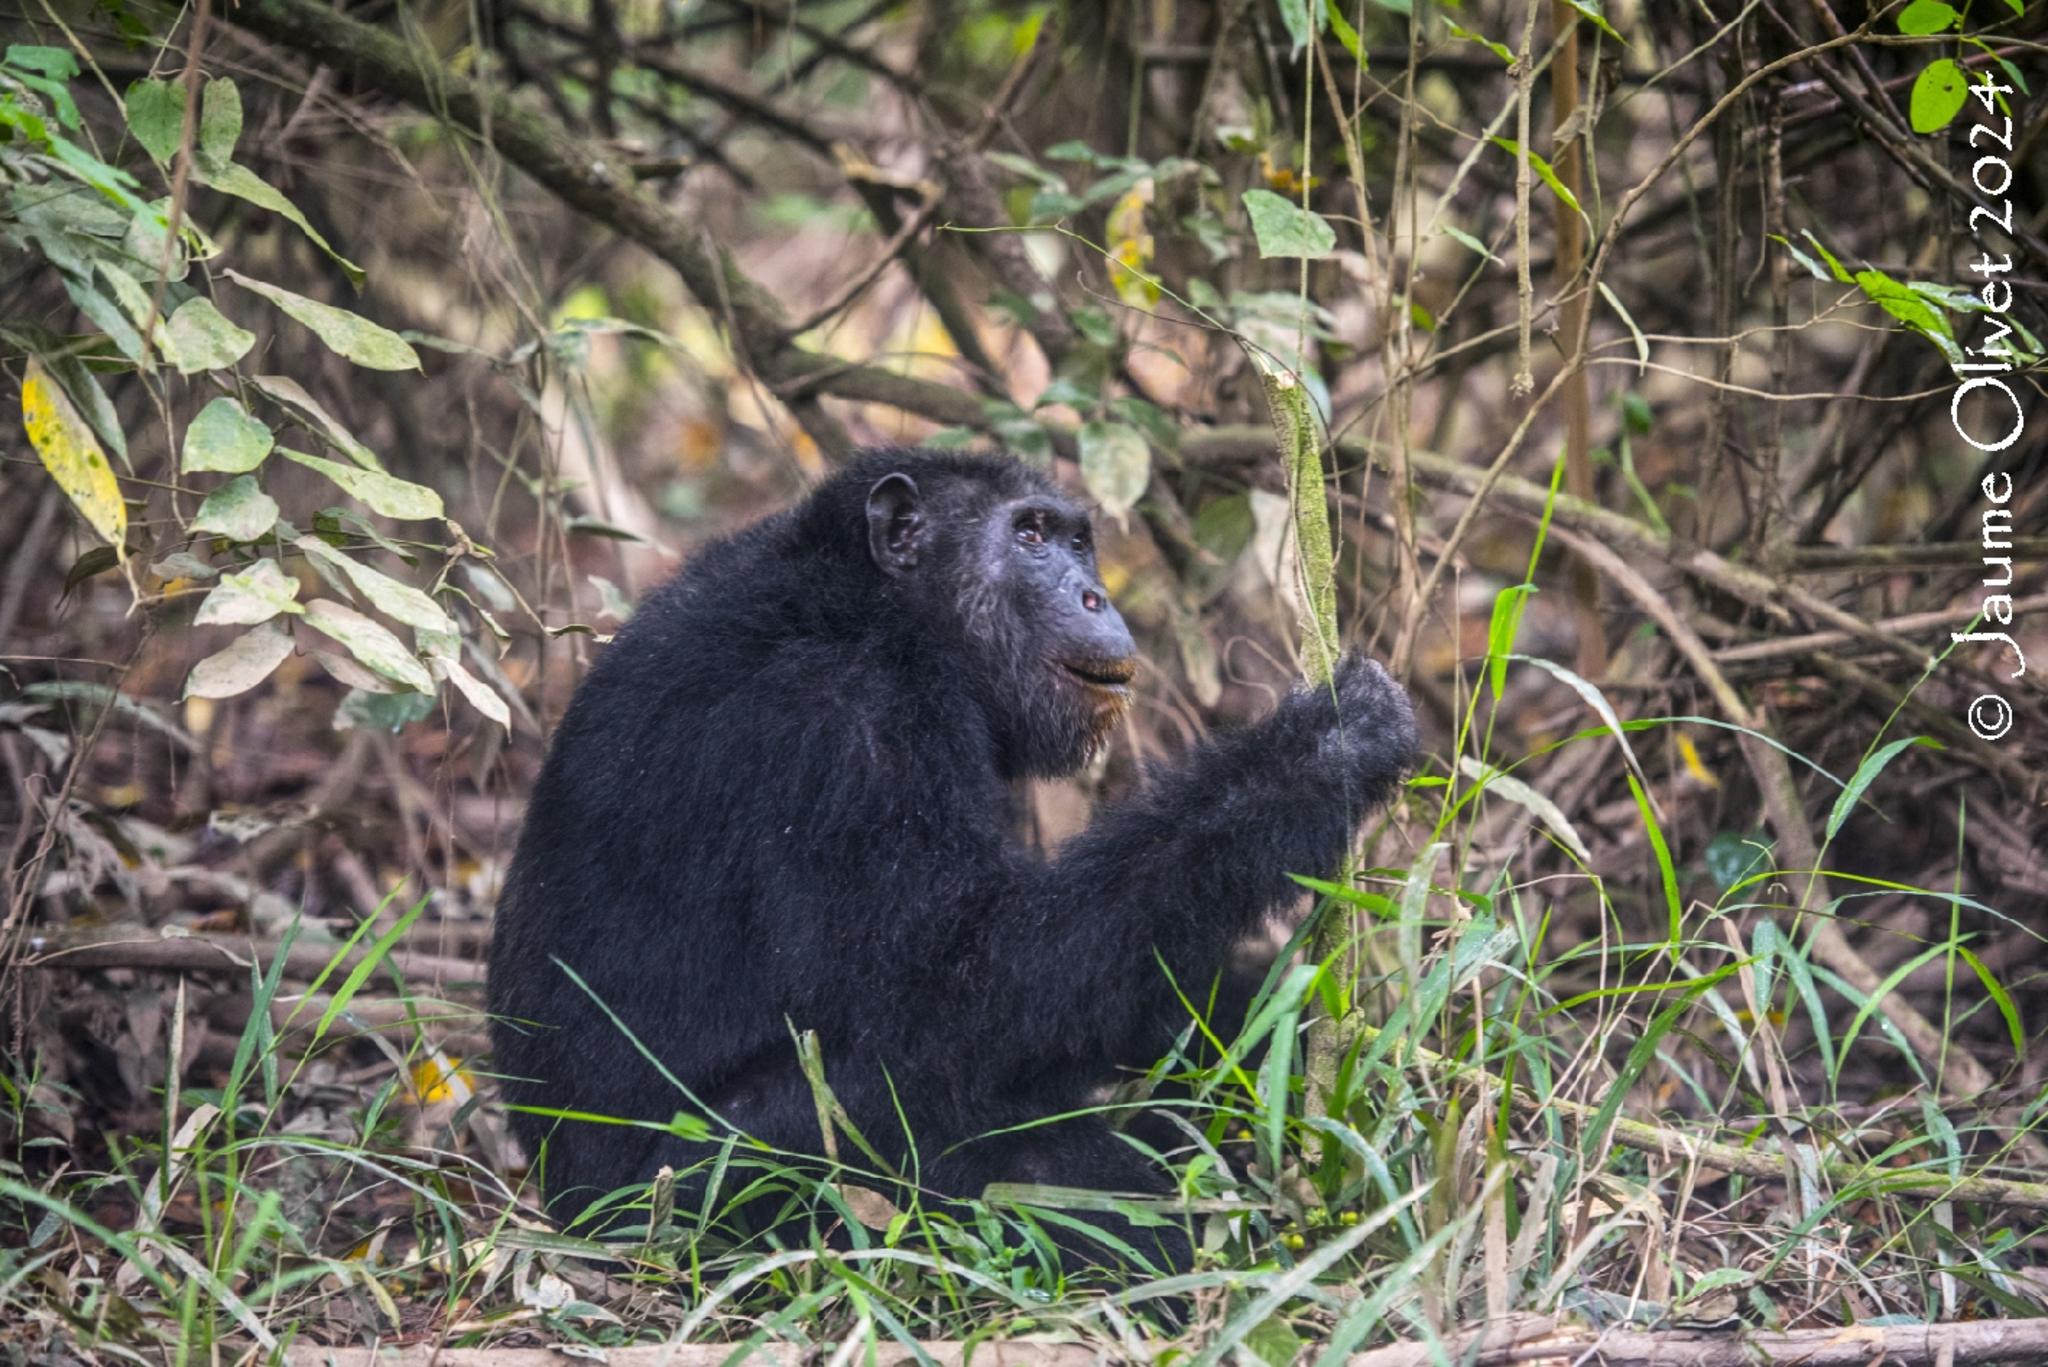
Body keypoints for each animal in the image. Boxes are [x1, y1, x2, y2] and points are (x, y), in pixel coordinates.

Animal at [493, 454, 1417, 1270]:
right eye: (1030, 536)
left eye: (1077, 541)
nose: (1094, 593)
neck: (885, 609)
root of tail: (564, 1207)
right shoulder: (858, 733)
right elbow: (962, 984)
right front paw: (1323, 746)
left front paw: (1289, 1035)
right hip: (691, 1199)